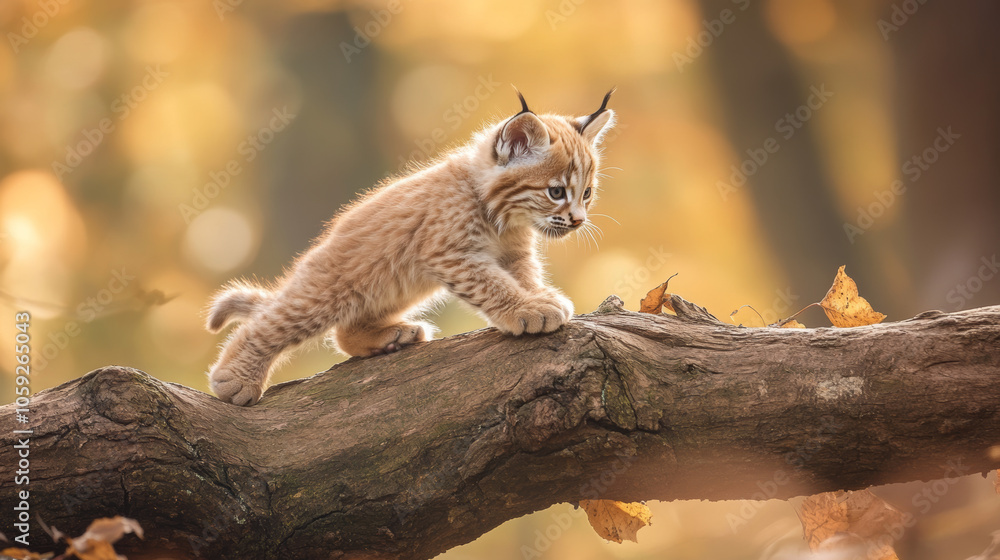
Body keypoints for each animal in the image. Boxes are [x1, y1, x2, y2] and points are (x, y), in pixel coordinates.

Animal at [206, 92, 612, 406]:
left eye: (587, 193)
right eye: (556, 192)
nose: (578, 221)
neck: (501, 216)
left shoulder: (513, 254)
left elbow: (522, 276)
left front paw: (539, 297)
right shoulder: (451, 253)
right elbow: (493, 284)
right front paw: (528, 309)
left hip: (394, 288)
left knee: (341, 333)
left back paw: (390, 337)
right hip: (328, 291)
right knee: (268, 322)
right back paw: (235, 379)